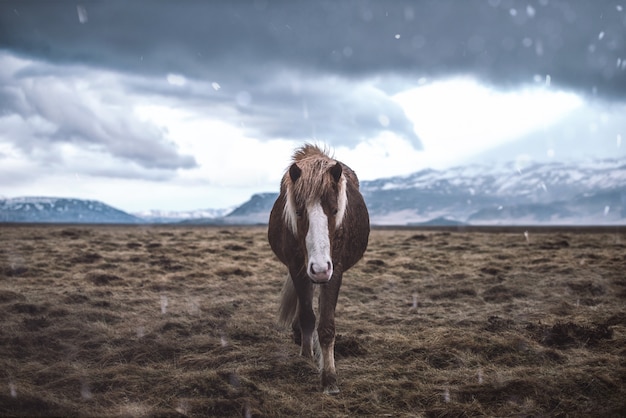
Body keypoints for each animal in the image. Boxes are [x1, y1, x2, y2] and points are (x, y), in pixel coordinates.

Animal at [266, 143, 368, 392]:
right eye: (298, 211)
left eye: (335, 210)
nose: (320, 269)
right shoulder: (298, 268)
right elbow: (307, 316)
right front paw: (306, 356)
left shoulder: (335, 270)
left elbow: (327, 326)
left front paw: (329, 379)